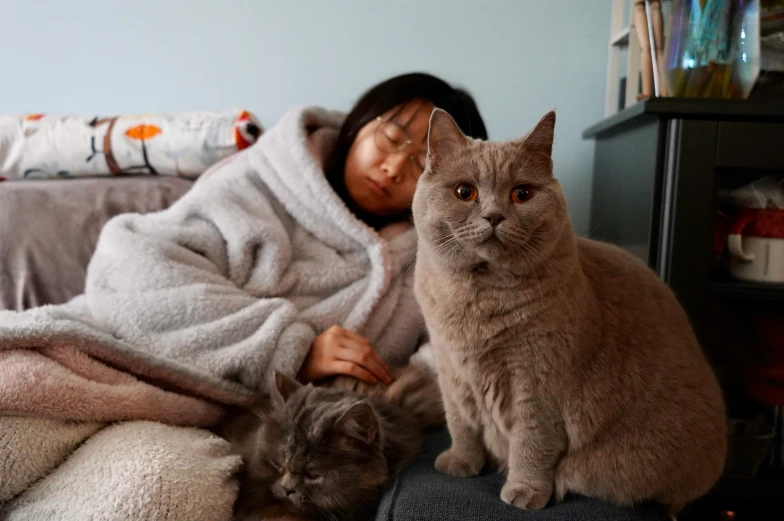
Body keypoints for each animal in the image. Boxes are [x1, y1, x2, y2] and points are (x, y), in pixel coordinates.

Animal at [414, 107, 724, 512]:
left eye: (521, 193)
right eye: (465, 192)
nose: (494, 216)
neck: (475, 299)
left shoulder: (538, 381)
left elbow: (531, 440)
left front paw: (525, 491)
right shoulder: (450, 369)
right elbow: (461, 423)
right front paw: (461, 463)